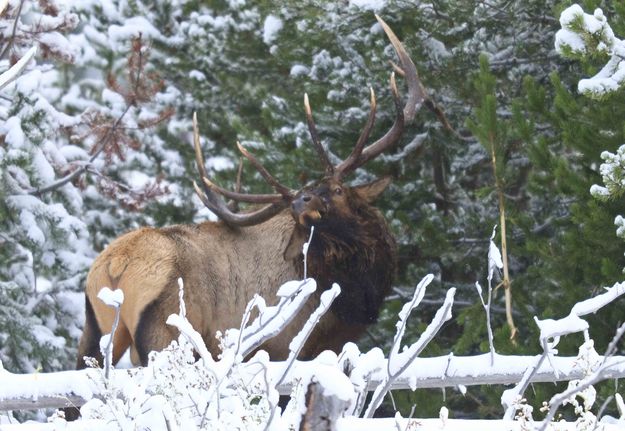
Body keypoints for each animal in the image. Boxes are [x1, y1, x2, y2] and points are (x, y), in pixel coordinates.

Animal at [75, 16, 422, 372]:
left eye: (338, 190)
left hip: (95, 329)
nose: (301, 202)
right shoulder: (291, 343)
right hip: (165, 330)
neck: (356, 298)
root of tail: (117, 264)